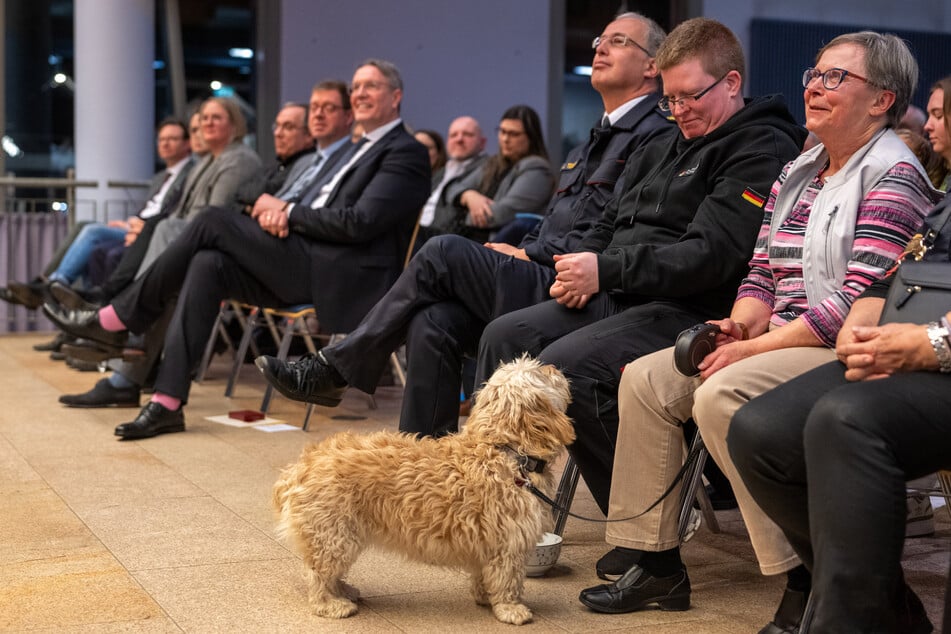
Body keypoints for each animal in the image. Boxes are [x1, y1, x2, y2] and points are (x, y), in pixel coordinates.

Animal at [272, 354, 576, 624]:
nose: (554, 366)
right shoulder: (508, 545)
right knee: (319, 574)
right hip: (335, 535)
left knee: (328, 572)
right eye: (538, 372)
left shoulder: (488, 543)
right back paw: (331, 604)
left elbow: (484, 575)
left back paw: (344, 591)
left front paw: (484, 598)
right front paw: (510, 609)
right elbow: (507, 581)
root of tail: (300, 467)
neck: (505, 450)